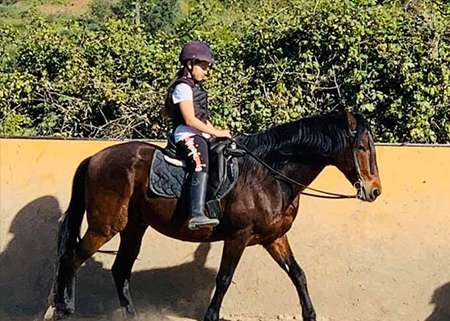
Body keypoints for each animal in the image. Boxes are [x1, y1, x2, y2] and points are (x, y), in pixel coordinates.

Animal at [44, 110, 384, 320]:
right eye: (362, 147)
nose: (374, 191)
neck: (269, 175)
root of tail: (94, 157)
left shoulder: (274, 238)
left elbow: (298, 274)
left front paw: (310, 314)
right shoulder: (238, 236)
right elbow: (224, 278)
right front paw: (210, 315)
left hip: (134, 227)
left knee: (119, 270)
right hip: (105, 226)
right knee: (71, 259)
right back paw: (65, 309)